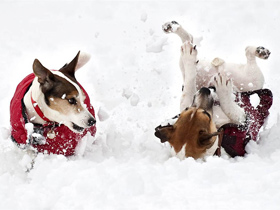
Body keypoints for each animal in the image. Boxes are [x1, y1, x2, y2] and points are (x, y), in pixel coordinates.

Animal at [154, 21, 272, 159]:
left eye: (188, 109)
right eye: (206, 115)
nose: (206, 89)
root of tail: (217, 68)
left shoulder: (188, 100)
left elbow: (189, 87)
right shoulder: (243, 119)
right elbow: (229, 107)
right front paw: (223, 88)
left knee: (188, 42)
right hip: (253, 79)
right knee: (248, 53)